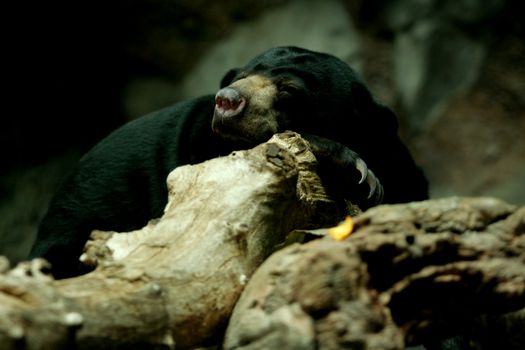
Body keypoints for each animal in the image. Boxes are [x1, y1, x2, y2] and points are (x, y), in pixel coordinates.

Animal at [28, 46, 428, 278]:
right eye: (241, 76)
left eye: (289, 90)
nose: (227, 100)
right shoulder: (198, 147)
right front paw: (356, 169)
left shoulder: (396, 159)